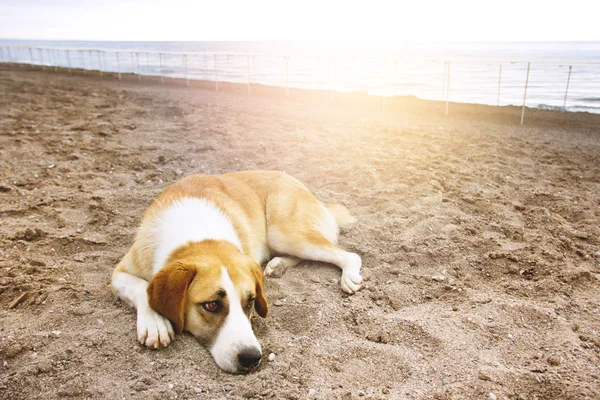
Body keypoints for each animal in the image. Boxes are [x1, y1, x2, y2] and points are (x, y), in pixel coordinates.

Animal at [110, 170, 364, 374]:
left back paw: (348, 275)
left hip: (284, 230)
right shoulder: (120, 272)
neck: (200, 234)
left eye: (250, 301)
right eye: (211, 305)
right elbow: (142, 287)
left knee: (351, 255)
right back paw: (278, 265)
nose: (252, 358)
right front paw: (155, 323)